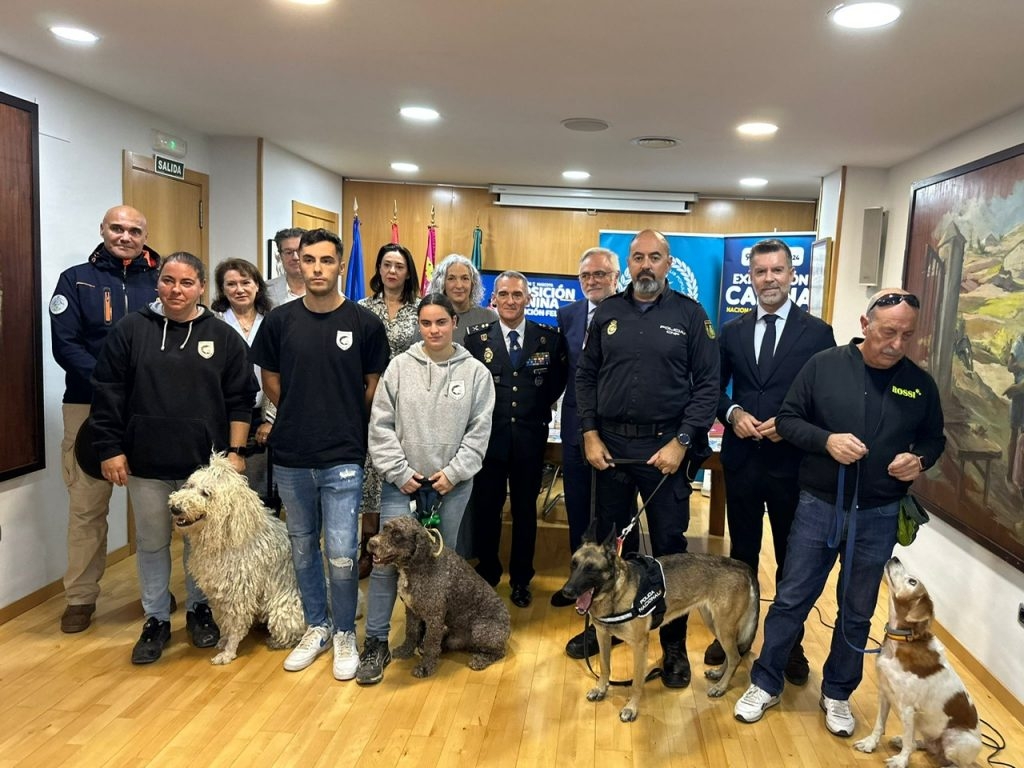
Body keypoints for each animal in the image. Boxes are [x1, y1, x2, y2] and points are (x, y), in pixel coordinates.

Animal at [166, 454, 303, 663]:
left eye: (206, 493)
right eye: (189, 485)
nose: (175, 508)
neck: (226, 536)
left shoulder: (239, 593)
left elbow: (236, 624)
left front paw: (228, 652)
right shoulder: (218, 591)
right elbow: (225, 620)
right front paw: (223, 640)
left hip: (283, 611)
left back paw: (277, 641)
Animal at [561, 532, 761, 724]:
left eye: (591, 568)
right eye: (573, 564)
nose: (566, 592)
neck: (617, 591)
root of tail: (741, 565)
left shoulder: (640, 645)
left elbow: (636, 681)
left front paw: (631, 708)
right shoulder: (603, 636)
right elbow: (604, 667)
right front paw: (601, 689)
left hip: (723, 627)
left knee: (735, 657)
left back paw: (721, 686)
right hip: (714, 623)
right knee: (732, 654)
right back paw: (719, 673)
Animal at [851, 561, 978, 768]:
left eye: (912, 582)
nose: (894, 558)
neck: (904, 640)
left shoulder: (908, 708)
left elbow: (907, 741)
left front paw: (901, 761)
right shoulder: (884, 693)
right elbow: (879, 724)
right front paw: (870, 743)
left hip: (956, 740)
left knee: (957, 764)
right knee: (925, 744)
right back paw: (904, 741)